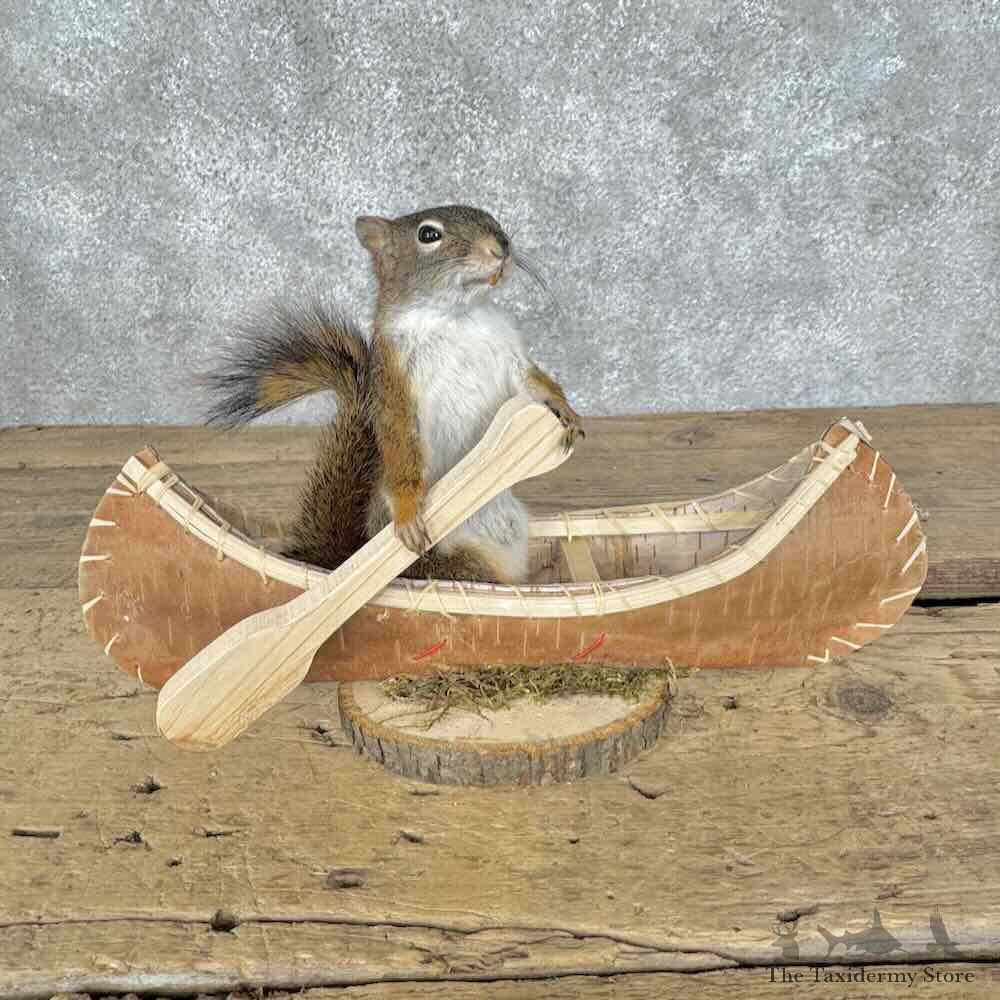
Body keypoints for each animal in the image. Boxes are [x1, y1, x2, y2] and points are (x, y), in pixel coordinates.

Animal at [204, 205, 583, 584]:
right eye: (428, 235)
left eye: (491, 217)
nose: (501, 246)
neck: (456, 317)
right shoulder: (395, 383)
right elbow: (400, 440)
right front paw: (407, 509)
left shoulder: (509, 355)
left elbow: (532, 381)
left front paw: (565, 411)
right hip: (454, 564)